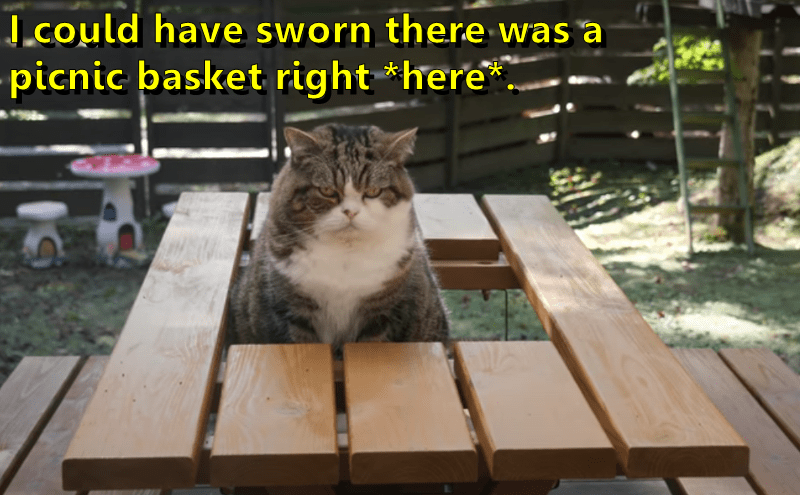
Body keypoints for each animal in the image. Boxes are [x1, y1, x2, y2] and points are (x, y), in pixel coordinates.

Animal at [228, 123, 449, 356]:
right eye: (326, 191)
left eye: (373, 191)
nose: (350, 212)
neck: (345, 253)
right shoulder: (289, 312)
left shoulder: (384, 314)